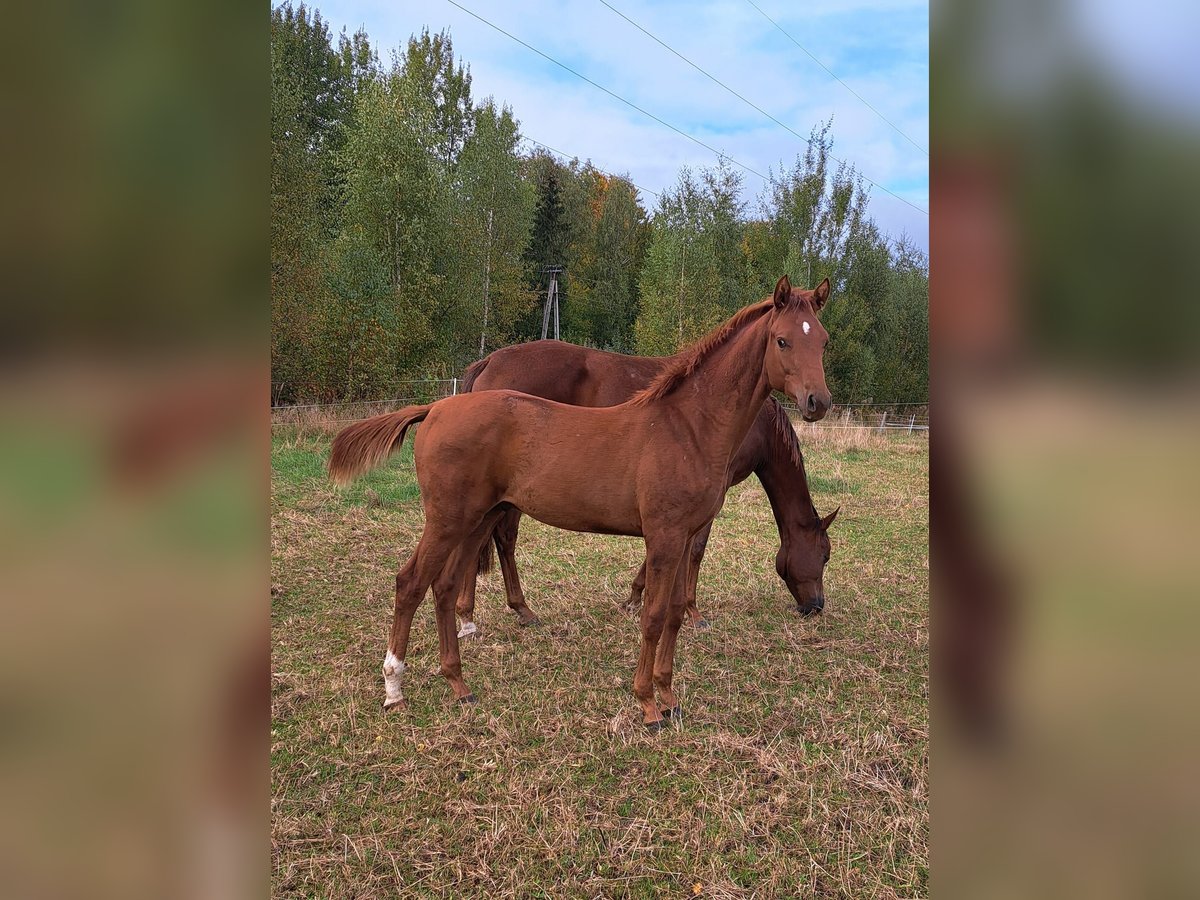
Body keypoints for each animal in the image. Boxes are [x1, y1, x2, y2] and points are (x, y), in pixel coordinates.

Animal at [453, 340, 840, 643]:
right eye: (824, 555)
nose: (816, 606)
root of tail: (491, 361)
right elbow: (696, 549)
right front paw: (693, 612)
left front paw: (635, 597)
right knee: (500, 537)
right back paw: (497, 612)